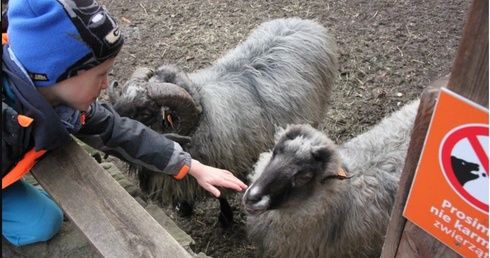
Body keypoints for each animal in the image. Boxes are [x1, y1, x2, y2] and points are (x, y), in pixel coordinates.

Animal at [109, 17, 338, 225]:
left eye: (146, 113)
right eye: (123, 96)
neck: (202, 118)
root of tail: (303, 22)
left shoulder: (224, 162)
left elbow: (220, 193)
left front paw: (226, 218)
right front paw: (185, 208)